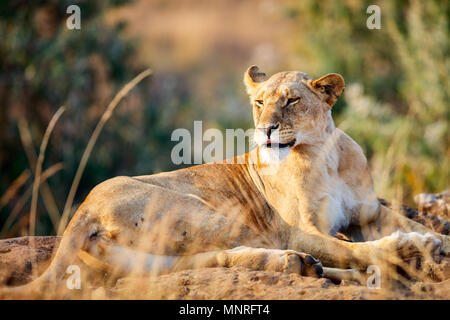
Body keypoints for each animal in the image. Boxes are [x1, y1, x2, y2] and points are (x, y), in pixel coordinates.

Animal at [4, 65, 450, 296]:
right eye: (259, 102)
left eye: (292, 100)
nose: (266, 130)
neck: (323, 155)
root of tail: (83, 210)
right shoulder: (298, 228)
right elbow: (354, 246)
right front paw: (416, 245)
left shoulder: (370, 213)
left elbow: (407, 224)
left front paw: (434, 239)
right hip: (213, 216)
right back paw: (327, 264)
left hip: (154, 257)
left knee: (209, 259)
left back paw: (304, 267)